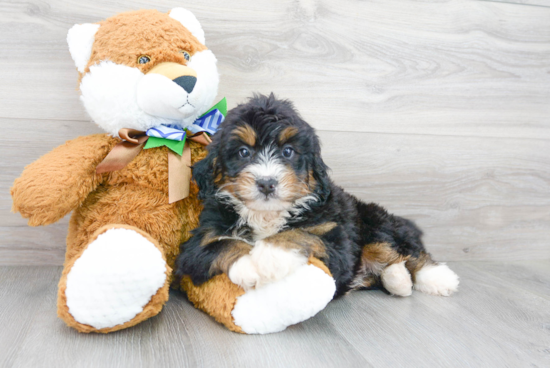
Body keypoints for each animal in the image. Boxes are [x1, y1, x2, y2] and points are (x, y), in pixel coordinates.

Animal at [176, 93, 458, 304]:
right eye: (243, 152)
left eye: (288, 152)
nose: (267, 183)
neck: (267, 215)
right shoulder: (197, 242)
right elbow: (221, 245)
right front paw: (248, 264)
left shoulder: (336, 240)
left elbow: (302, 234)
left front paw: (269, 255)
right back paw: (398, 279)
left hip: (373, 220)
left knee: (401, 250)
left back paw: (436, 277)